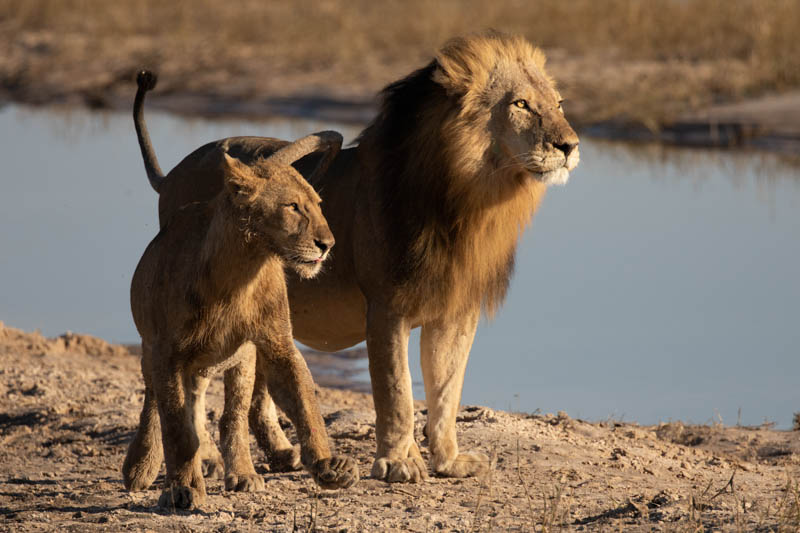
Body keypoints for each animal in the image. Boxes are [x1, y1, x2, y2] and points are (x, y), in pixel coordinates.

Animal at [123, 116, 358, 508]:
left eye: (317, 204)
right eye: (292, 206)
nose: (328, 244)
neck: (240, 273)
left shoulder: (277, 343)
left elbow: (304, 402)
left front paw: (329, 466)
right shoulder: (166, 353)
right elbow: (175, 426)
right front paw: (182, 487)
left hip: (241, 359)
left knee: (230, 415)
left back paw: (242, 473)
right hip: (154, 351)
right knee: (157, 402)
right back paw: (143, 465)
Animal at [134, 31, 580, 484]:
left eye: (559, 104)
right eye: (520, 104)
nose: (570, 145)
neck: (470, 203)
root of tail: (171, 174)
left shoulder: (457, 310)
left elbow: (446, 389)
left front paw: (448, 461)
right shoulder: (387, 307)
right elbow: (397, 390)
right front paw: (399, 462)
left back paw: (281, 452)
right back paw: (205, 457)